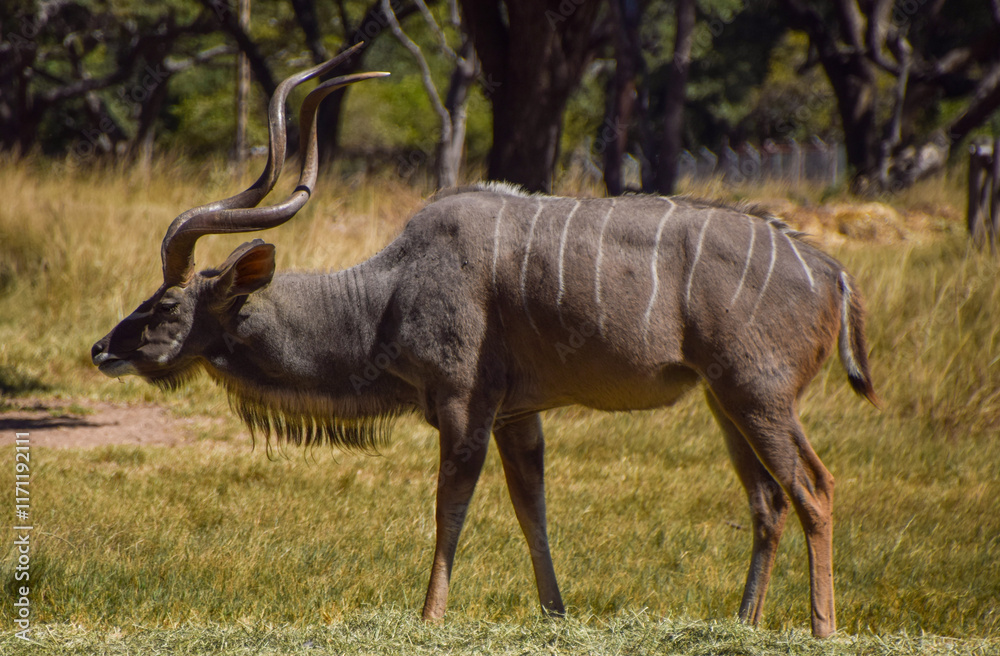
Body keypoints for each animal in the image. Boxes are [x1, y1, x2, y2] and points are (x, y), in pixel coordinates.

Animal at [91, 55, 877, 639]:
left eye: (165, 305)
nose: (103, 349)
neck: (389, 291)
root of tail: (832, 272)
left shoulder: (465, 407)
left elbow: (451, 509)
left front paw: (429, 617)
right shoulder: (516, 416)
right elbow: (533, 509)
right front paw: (556, 616)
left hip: (758, 395)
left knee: (815, 489)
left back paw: (822, 629)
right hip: (725, 402)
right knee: (767, 504)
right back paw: (743, 625)